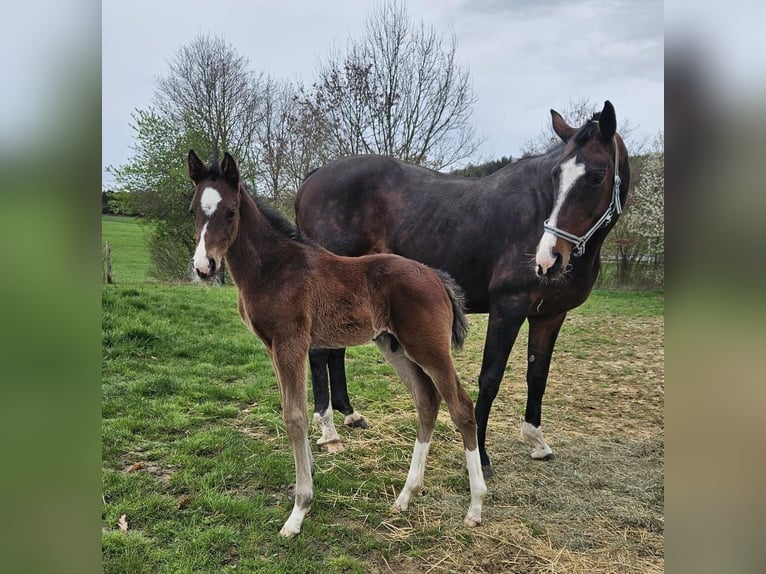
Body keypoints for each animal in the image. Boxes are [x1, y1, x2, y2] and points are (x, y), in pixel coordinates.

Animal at [188, 151, 486, 536]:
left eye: (231, 211)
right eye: (193, 210)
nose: (204, 266)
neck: (274, 268)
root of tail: (434, 275)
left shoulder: (291, 344)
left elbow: (295, 417)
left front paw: (299, 509)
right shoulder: (272, 348)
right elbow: (289, 410)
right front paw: (307, 480)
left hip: (430, 348)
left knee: (461, 407)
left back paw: (475, 506)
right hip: (395, 346)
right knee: (427, 401)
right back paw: (406, 495)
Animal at [294, 100, 632, 482]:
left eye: (597, 175)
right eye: (556, 175)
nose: (547, 259)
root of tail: (313, 178)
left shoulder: (549, 315)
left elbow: (537, 376)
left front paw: (537, 441)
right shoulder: (508, 309)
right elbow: (490, 379)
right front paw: (481, 457)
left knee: (335, 352)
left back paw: (350, 414)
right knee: (319, 353)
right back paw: (329, 430)